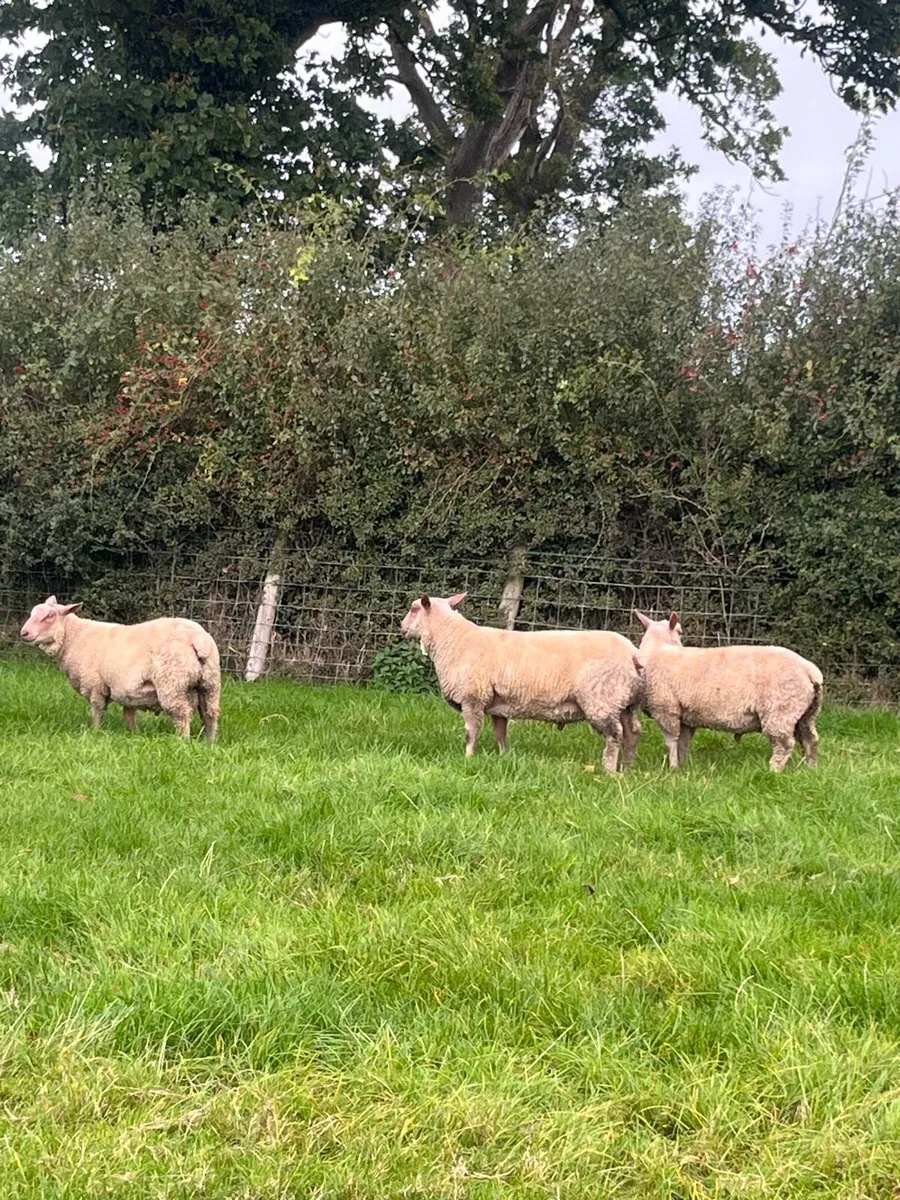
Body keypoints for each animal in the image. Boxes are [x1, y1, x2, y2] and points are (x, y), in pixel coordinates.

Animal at [20, 596, 221, 740]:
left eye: (49, 616)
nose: (24, 633)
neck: (74, 638)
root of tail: (197, 639)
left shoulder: (95, 685)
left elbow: (97, 711)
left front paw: (96, 733)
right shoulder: (128, 692)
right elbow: (129, 716)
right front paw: (134, 735)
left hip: (172, 683)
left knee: (183, 714)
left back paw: (183, 742)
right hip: (210, 683)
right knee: (210, 715)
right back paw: (209, 743)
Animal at [400, 592, 643, 772]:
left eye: (413, 609)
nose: (401, 627)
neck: (454, 640)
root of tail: (632, 653)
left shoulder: (473, 698)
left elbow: (471, 732)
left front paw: (467, 758)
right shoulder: (498, 705)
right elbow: (500, 735)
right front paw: (504, 757)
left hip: (602, 699)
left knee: (615, 734)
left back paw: (609, 771)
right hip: (625, 702)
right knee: (632, 733)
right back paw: (628, 768)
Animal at [634, 610, 823, 772]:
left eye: (680, 631)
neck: (656, 650)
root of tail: (810, 671)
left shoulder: (666, 709)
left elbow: (671, 741)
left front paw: (673, 768)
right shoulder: (685, 716)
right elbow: (683, 743)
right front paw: (684, 766)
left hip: (780, 711)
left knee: (785, 744)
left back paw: (774, 770)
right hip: (806, 714)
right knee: (810, 740)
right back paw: (810, 769)